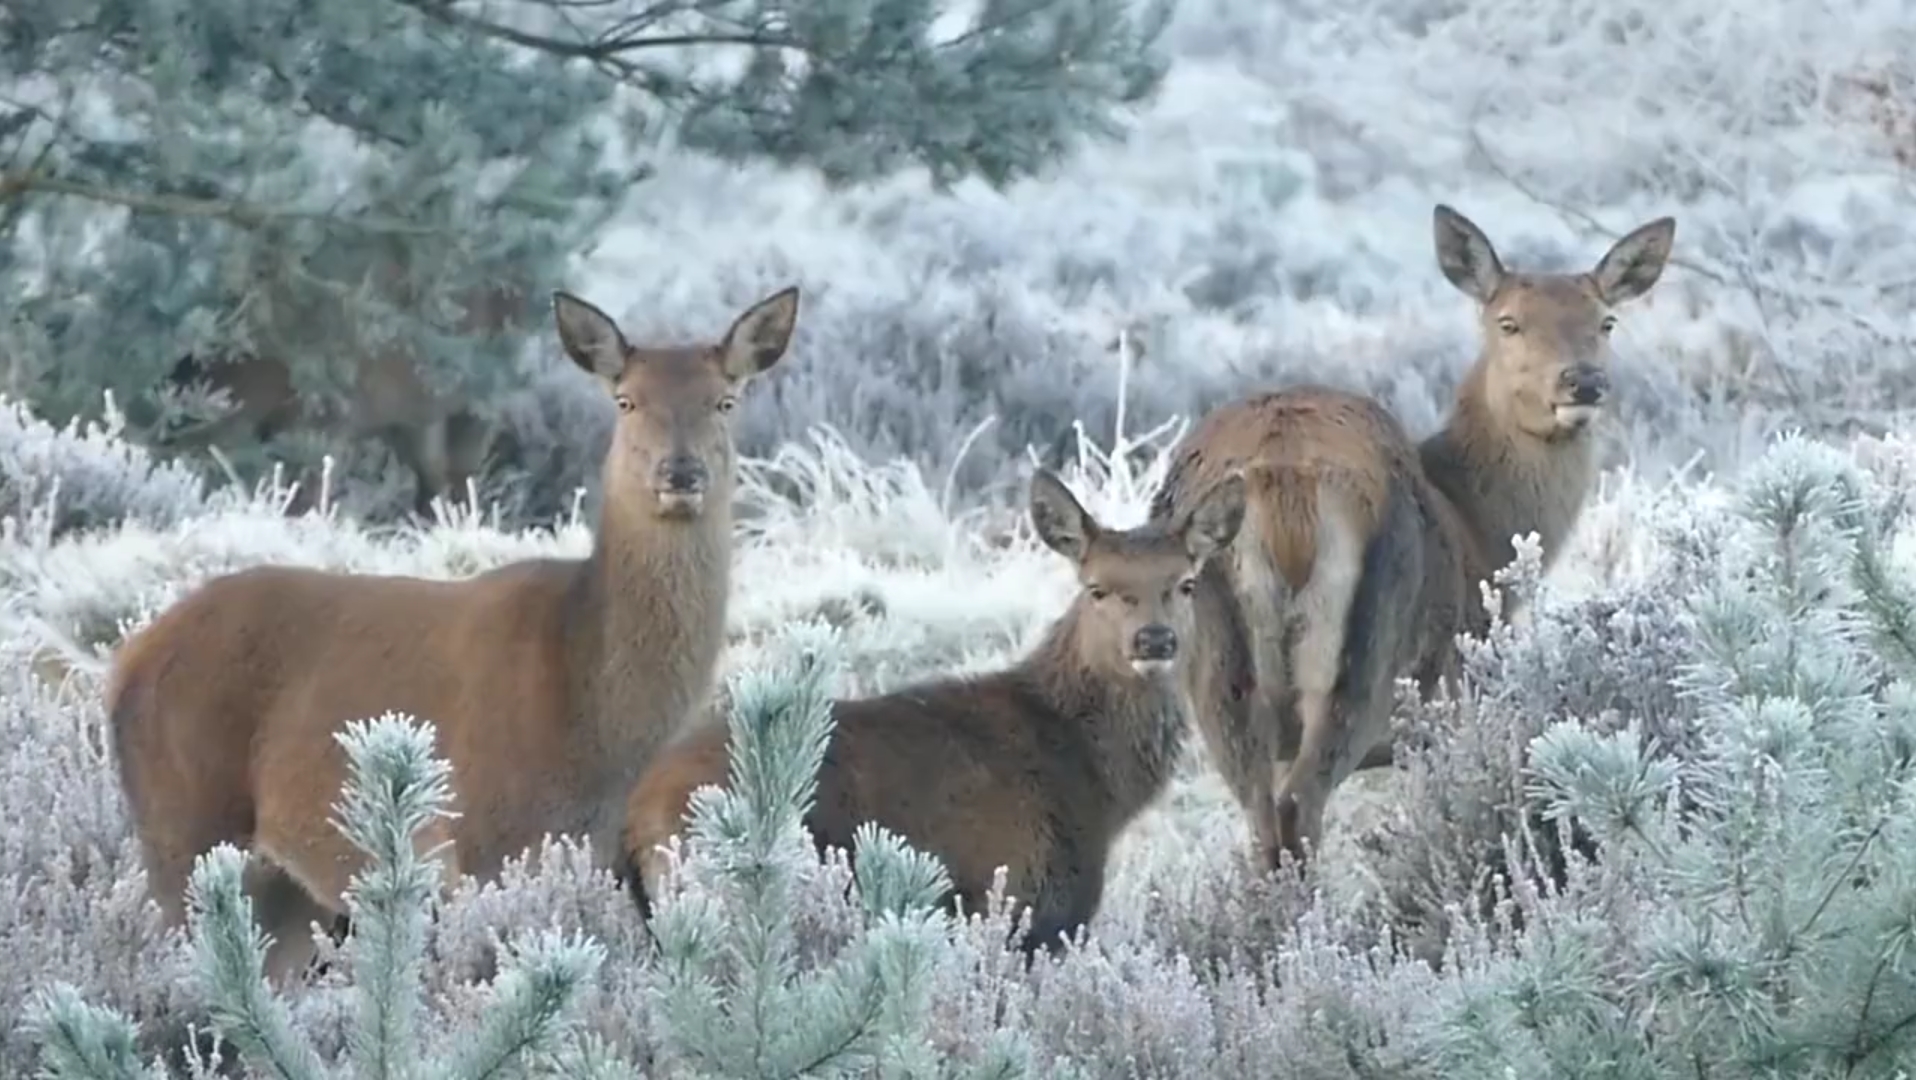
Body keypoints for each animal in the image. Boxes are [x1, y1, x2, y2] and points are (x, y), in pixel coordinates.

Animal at [108, 283, 797, 980]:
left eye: (725, 401)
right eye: (626, 400)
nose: (680, 472)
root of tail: (127, 660)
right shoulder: (479, 840)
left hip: (284, 886)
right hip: (182, 820)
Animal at [616, 469, 1256, 957]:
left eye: (1186, 583)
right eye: (1097, 587)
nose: (1154, 639)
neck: (1097, 784)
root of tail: (637, 810)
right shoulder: (1025, 898)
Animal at [1149, 204, 1678, 877]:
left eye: (1605, 321)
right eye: (1508, 322)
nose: (1582, 382)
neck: (1480, 527)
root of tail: (1284, 481)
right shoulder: (1455, 695)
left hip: (1216, 668)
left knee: (1262, 816)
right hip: (1371, 644)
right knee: (1300, 803)